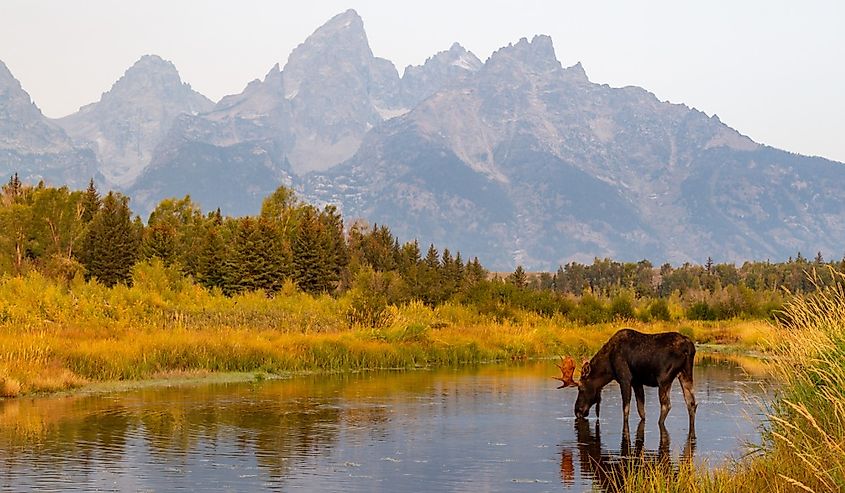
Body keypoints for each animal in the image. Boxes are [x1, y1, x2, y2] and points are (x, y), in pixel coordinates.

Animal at [552, 328, 696, 428]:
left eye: (580, 388)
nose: (577, 411)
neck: (608, 367)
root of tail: (689, 348)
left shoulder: (625, 379)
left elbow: (626, 409)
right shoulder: (637, 382)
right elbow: (641, 410)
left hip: (664, 378)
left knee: (666, 405)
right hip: (685, 374)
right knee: (691, 403)